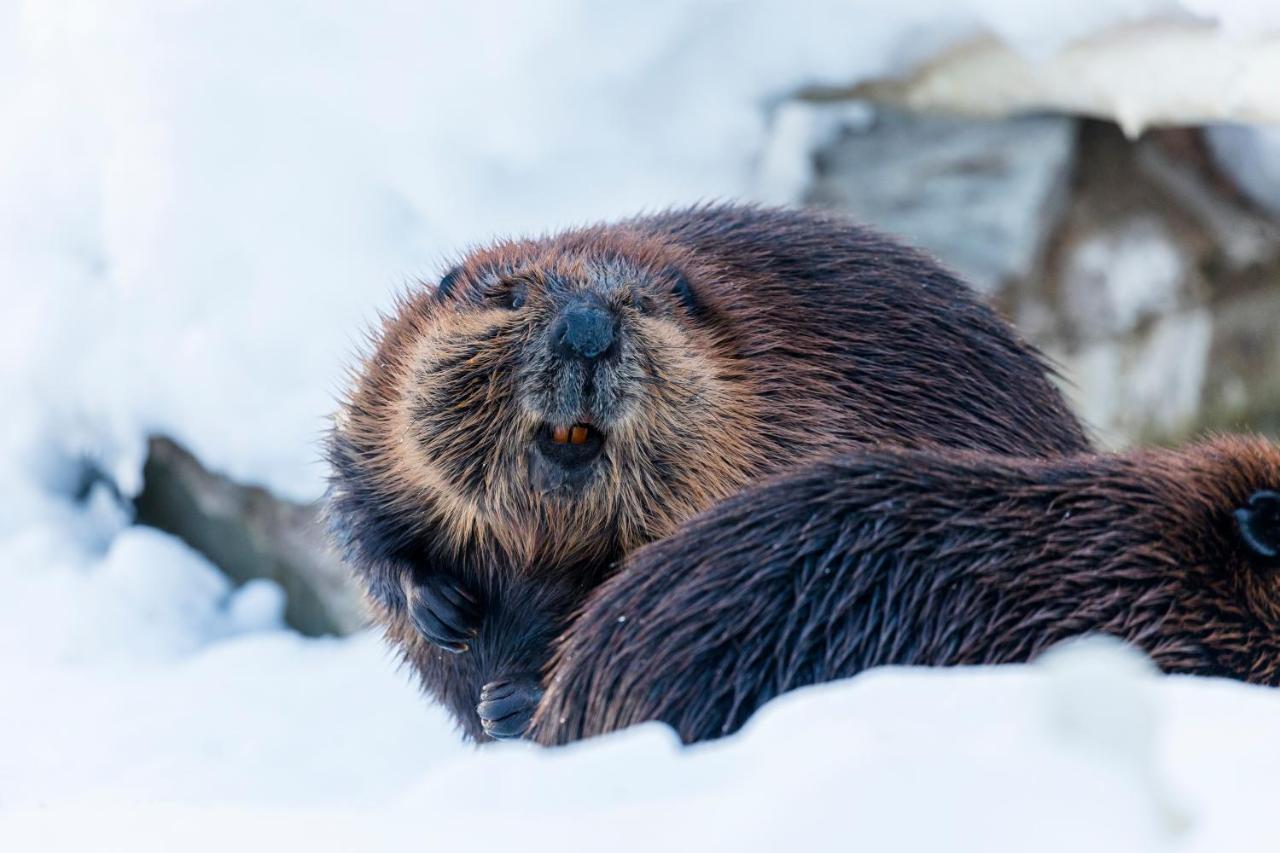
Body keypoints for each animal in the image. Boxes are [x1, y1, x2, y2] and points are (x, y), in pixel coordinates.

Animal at [325, 201, 1085, 737]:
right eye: (510, 296)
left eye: (643, 303)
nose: (587, 330)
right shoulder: (379, 400)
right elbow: (360, 507)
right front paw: (442, 609)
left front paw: (511, 699)